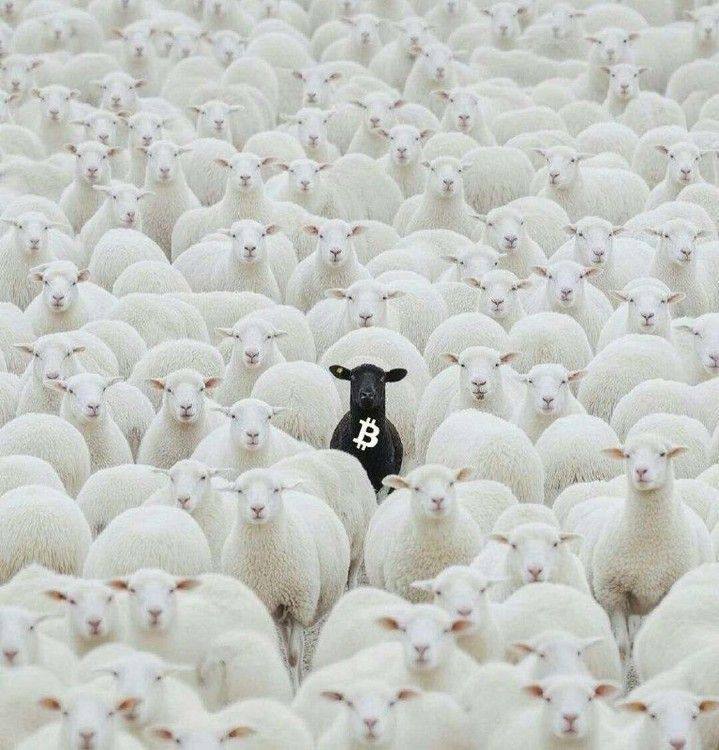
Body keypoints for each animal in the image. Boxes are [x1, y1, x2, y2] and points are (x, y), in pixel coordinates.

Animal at [221, 467, 350, 685]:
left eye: (276, 489)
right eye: (240, 491)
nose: (257, 508)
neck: (268, 570)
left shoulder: (299, 605)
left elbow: (294, 655)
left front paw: (296, 686)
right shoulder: (271, 607)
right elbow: (283, 652)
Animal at [569, 434, 714, 663]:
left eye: (662, 453)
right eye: (627, 455)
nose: (641, 471)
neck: (648, 544)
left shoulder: (663, 592)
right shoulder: (613, 594)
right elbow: (621, 645)